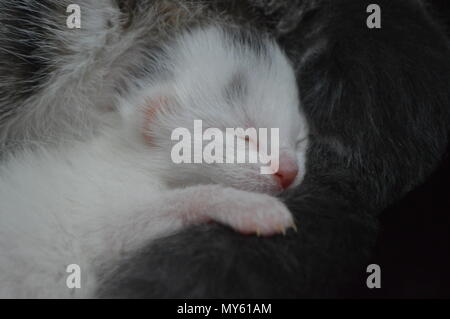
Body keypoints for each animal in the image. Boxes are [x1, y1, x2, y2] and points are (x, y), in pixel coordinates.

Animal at [0, 24, 308, 298]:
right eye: (245, 137)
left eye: (300, 141)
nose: (290, 171)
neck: (134, 157)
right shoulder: (99, 209)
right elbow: (164, 208)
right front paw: (249, 207)